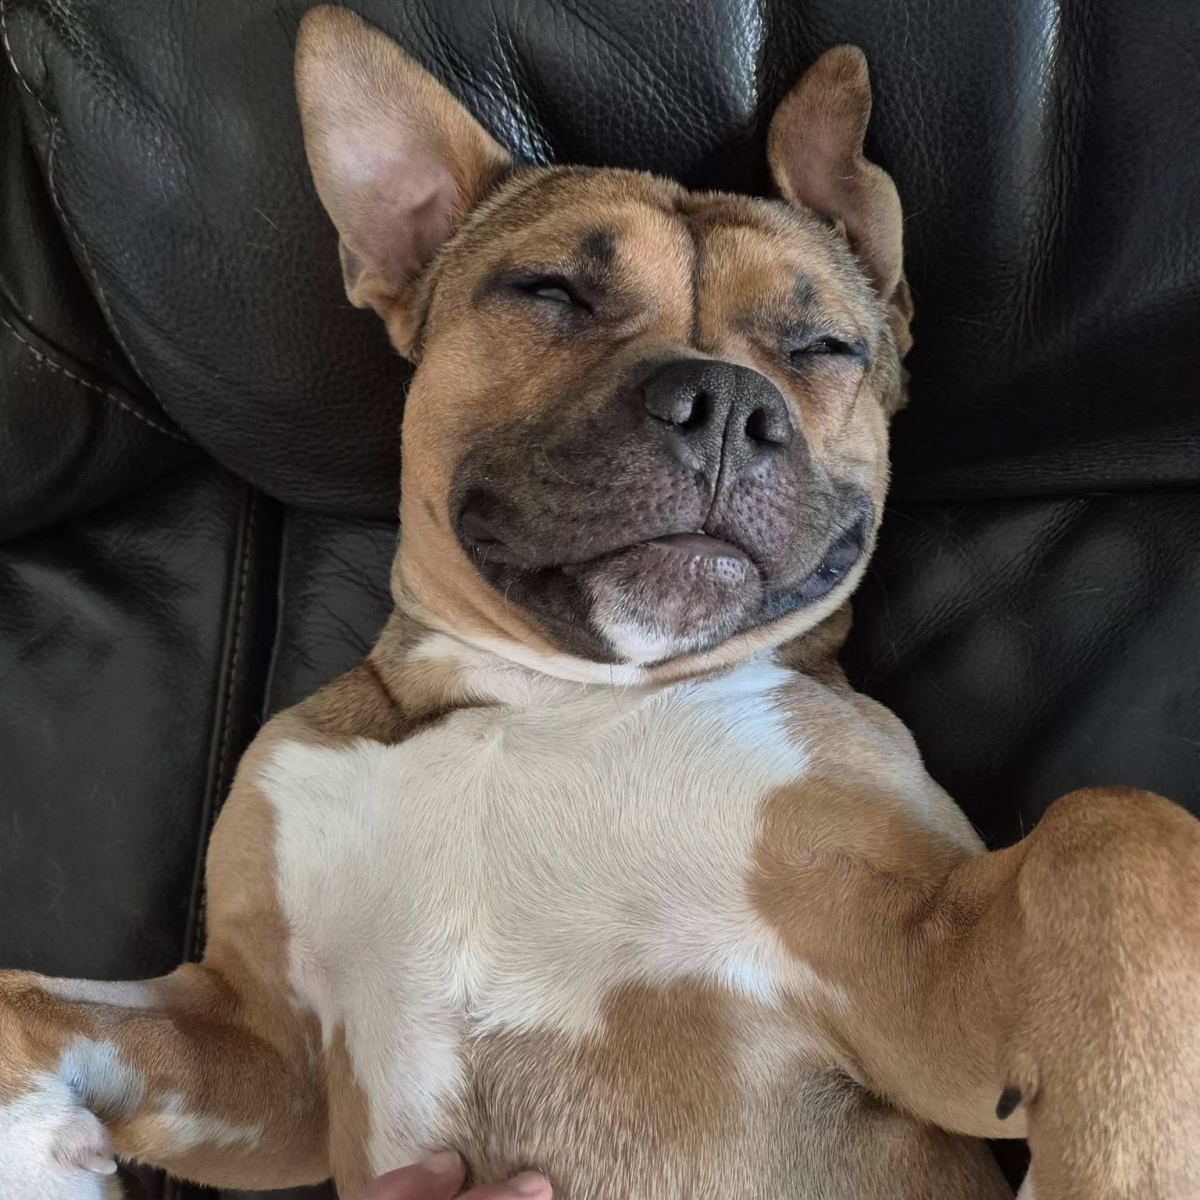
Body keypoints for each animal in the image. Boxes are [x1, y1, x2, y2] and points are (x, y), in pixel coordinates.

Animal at [3, 7, 1200, 1198]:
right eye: (550, 293)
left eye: (824, 347)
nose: (724, 402)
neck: (556, 695)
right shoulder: (270, 1053)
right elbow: (25, 996)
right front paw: (36, 1143)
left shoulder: (907, 961)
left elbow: (1113, 830)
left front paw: (1130, 1158)